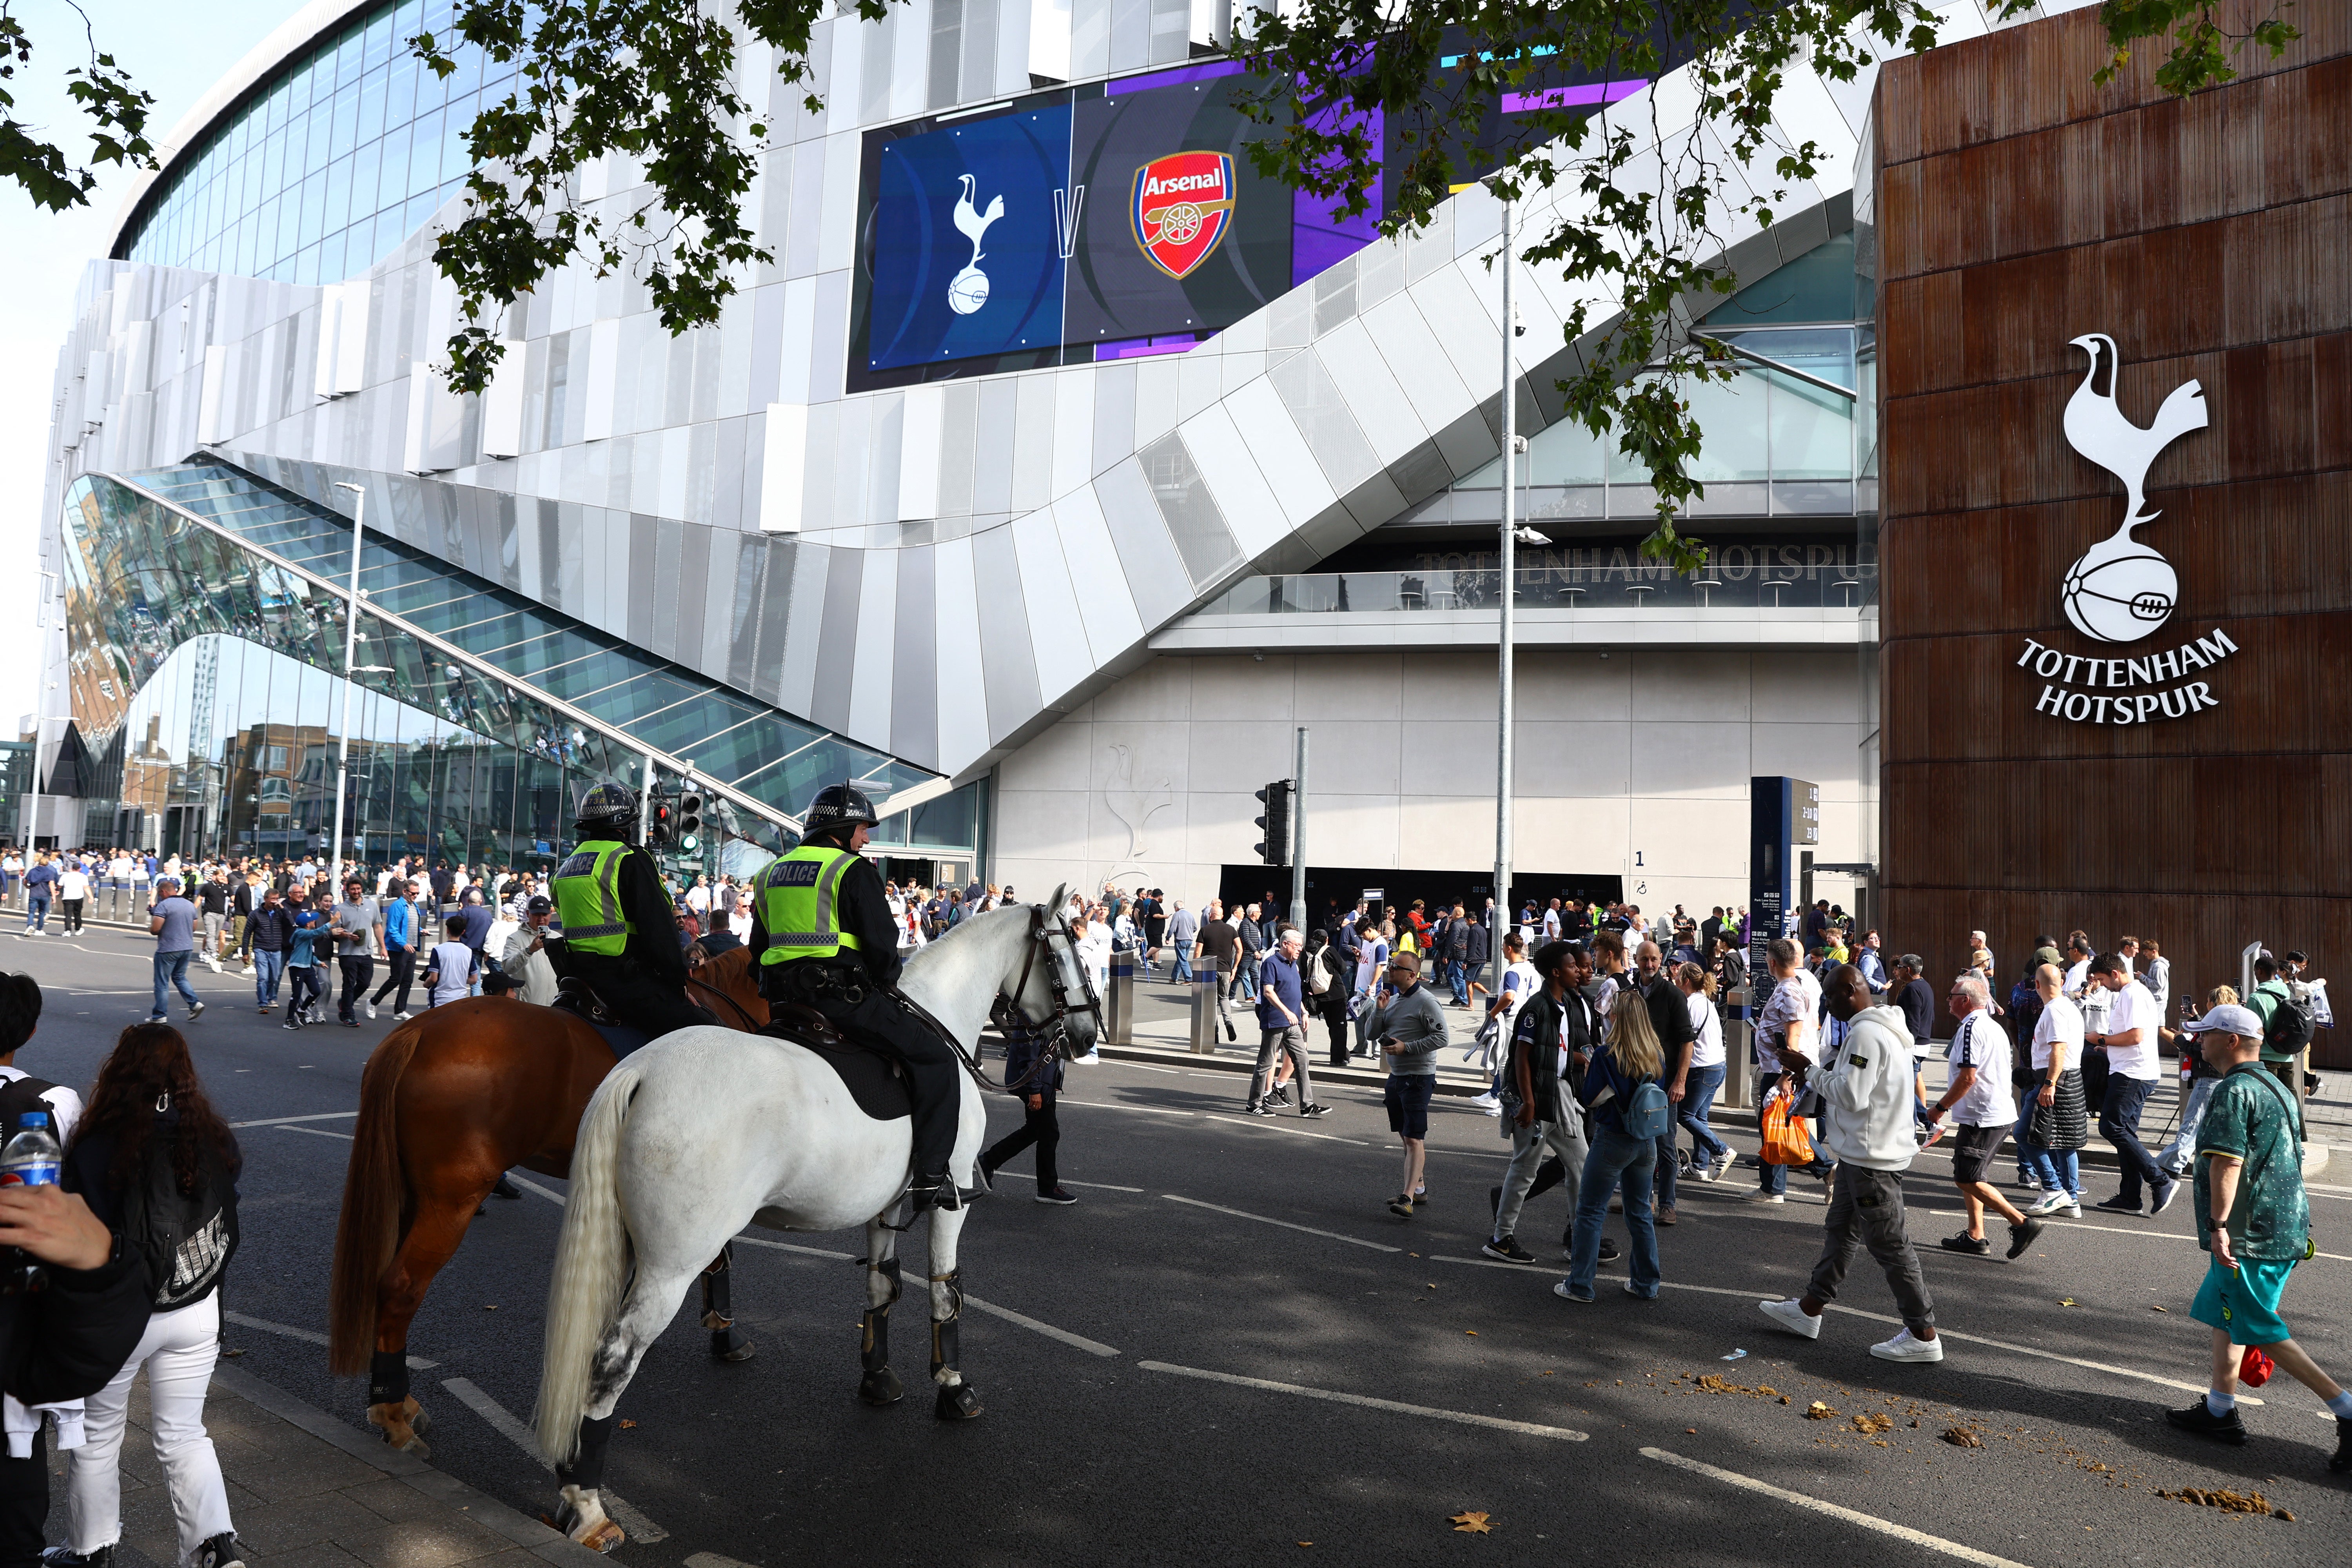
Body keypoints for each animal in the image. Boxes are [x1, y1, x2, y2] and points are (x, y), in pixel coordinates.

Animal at [329, 940, 771, 1457]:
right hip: (450, 1200)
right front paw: (725, 1330)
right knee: (401, 1287)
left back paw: (399, 1402)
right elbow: (718, 1256)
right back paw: (392, 1415)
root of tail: (416, 1032)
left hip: (411, 1194)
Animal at [534, 888, 1091, 1552]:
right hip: (671, 1265)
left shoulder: (888, 1204)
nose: (1087, 1034)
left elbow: (881, 1285)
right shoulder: (949, 1197)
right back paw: (588, 1505)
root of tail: (639, 1069)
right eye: (1067, 947)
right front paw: (954, 1388)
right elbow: (945, 1291)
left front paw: (878, 1380)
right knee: (611, 1360)